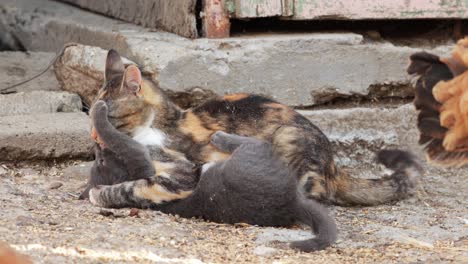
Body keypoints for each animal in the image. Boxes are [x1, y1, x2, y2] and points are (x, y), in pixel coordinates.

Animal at [87, 100, 336, 252]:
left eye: (99, 160)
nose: (98, 148)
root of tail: (292, 201)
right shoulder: (164, 168)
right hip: (247, 158)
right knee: (259, 144)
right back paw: (219, 137)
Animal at [92, 49, 424, 206]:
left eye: (108, 116)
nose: (94, 137)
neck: (157, 123)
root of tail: (334, 165)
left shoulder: (182, 172)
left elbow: (134, 187)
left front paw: (100, 194)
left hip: (289, 139)